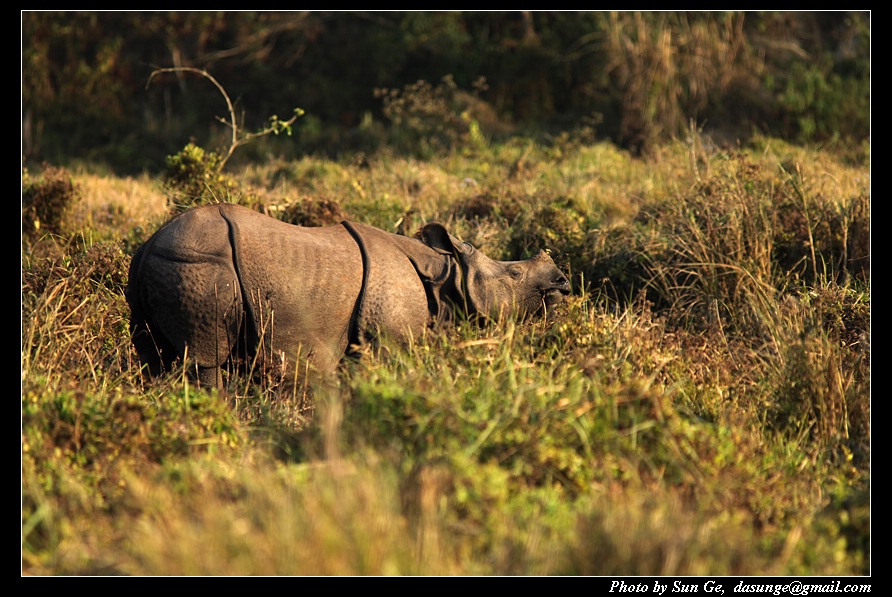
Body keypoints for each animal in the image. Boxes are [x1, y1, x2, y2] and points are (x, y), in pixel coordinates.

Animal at [126, 202, 570, 388]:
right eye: (515, 274)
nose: (562, 282)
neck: (443, 273)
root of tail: (150, 244)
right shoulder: (389, 339)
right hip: (199, 267)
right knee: (205, 358)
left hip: (158, 268)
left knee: (155, 358)